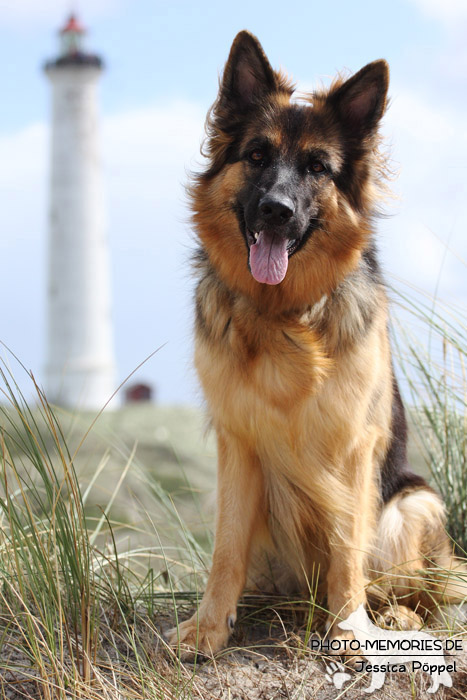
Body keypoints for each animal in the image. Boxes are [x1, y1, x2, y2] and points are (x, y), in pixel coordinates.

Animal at [167, 31, 464, 656]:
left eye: (317, 167)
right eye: (257, 155)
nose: (276, 211)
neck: (285, 313)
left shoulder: (354, 448)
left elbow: (347, 550)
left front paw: (349, 627)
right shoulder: (238, 444)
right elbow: (226, 548)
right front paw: (209, 626)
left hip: (414, 502)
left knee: (415, 592)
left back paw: (392, 615)